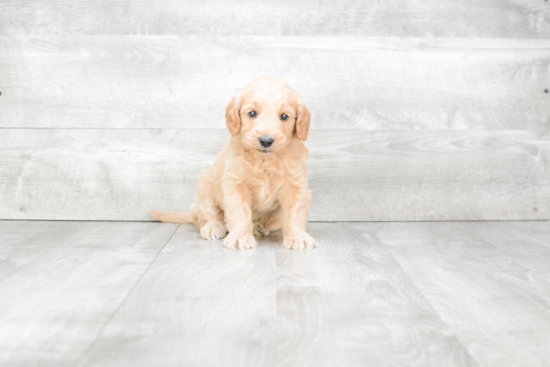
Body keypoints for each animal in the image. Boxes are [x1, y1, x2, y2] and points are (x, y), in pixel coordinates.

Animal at [149, 76, 316, 252]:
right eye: (252, 113)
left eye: (284, 116)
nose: (266, 141)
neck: (265, 159)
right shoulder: (236, 184)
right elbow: (240, 212)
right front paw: (240, 237)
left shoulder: (296, 186)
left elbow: (295, 213)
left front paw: (297, 236)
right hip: (204, 187)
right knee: (208, 216)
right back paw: (214, 227)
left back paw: (260, 226)